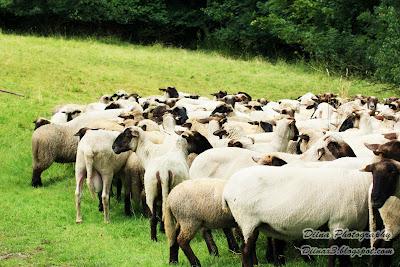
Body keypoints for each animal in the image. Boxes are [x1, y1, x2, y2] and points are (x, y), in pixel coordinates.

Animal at [223, 166, 374, 266]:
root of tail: (227, 189)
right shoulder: (339, 222)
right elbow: (334, 251)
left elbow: (344, 254)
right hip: (247, 220)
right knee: (246, 250)